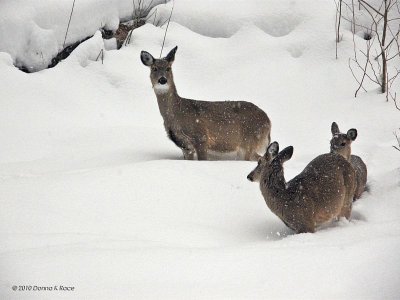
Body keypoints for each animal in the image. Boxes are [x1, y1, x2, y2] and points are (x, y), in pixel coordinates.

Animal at [141, 46, 272, 161]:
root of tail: (268, 121)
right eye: (154, 68)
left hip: (249, 141)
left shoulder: (201, 137)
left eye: (168, 68)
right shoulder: (185, 147)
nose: (162, 80)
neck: (177, 114)